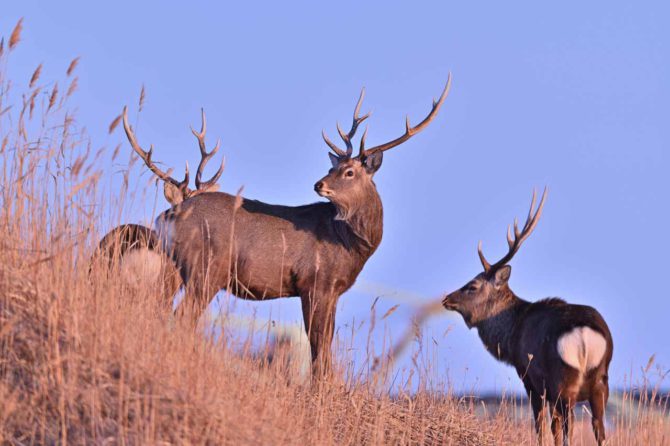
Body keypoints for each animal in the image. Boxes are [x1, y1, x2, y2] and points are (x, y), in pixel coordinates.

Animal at [100, 79, 454, 376]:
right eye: (334, 167)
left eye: (348, 171)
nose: (319, 184)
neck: (348, 244)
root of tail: (168, 216)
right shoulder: (315, 282)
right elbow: (318, 346)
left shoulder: (332, 290)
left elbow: (325, 343)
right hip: (206, 269)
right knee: (182, 318)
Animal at [444, 188, 616, 446]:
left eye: (472, 286)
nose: (446, 299)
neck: (511, 334)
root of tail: (585, 334)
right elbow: (554, 428)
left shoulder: (530, 379)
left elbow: (542, 427)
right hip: (600, 381)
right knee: (599, 429)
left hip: (564, 379)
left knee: (570, 427)